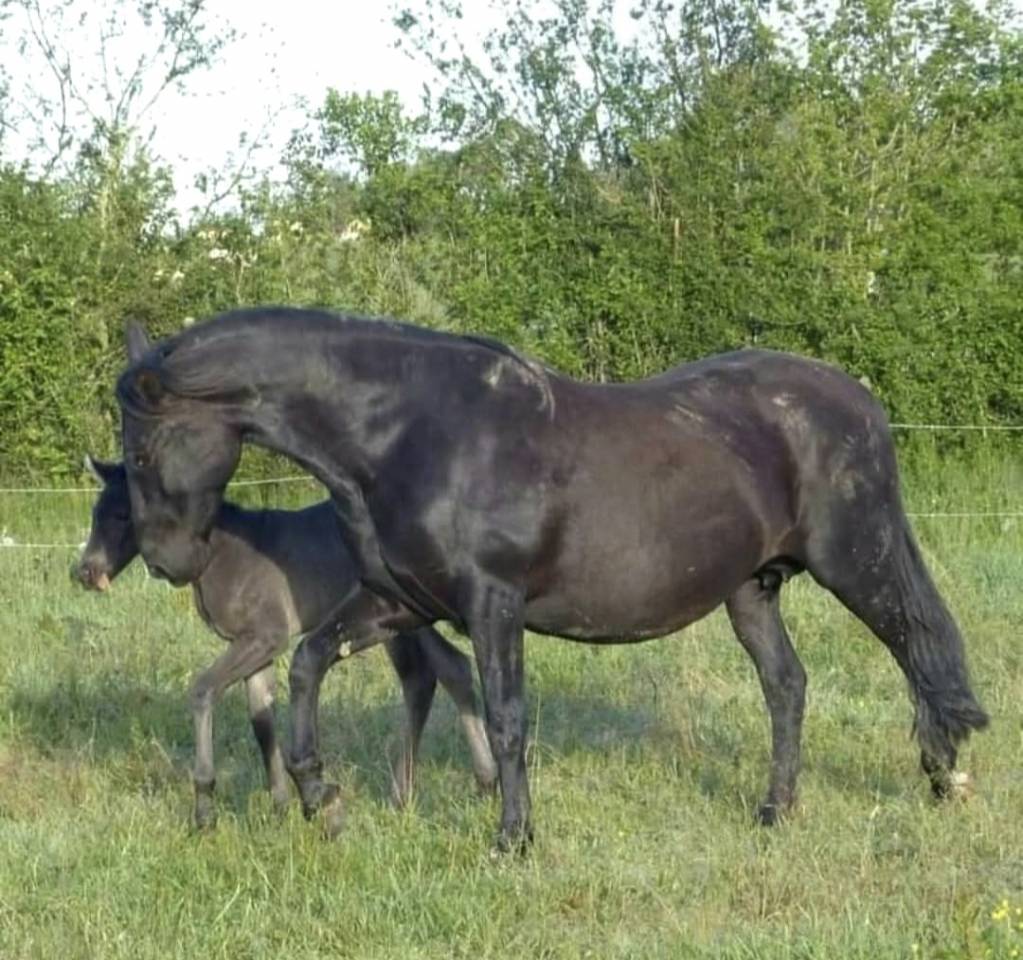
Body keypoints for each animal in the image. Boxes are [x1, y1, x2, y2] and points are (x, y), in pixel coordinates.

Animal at [75, 455, 495, 829]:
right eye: (95, 513)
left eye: (123, 516)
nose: (85, 572)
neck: (218, 555)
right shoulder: (256, 648)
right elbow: (261, 719)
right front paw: (279, 809)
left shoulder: (266, 636)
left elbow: (203, 690)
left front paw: (205, 811)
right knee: (444, 669)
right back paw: (459, 785)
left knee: (430, 673)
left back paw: (428, 789)